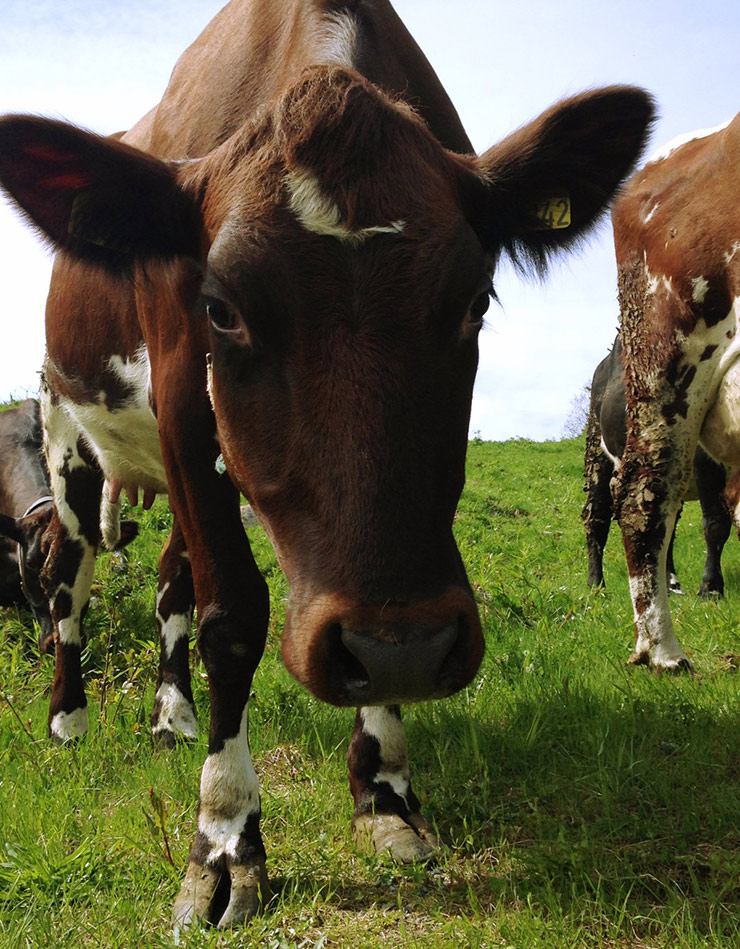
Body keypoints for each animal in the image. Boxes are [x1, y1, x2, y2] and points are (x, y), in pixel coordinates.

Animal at [0, 0, 652, 928]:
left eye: (475, 300)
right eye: (221, 308)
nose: (405, 645)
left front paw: (385, 791)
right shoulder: (182, 398)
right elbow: (232, 616)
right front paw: (225, 840)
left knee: (168, 583)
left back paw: (171, 715)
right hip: (67, 433)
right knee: (67, 577)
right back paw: (69, 718)